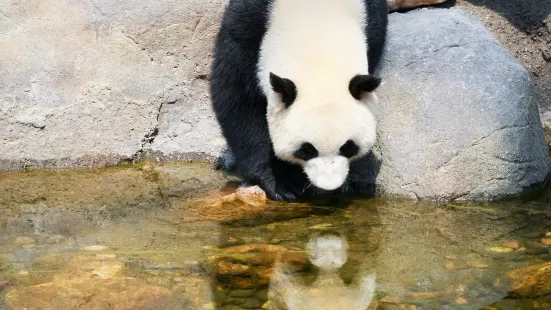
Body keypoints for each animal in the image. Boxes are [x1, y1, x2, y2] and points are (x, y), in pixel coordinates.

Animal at [211, 0, 388, 201]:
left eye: (348, 147)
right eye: (306, 150)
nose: (329, 186)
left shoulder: (371, 18)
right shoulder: (248, 25)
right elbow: (237, 99)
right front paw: (280, 182)